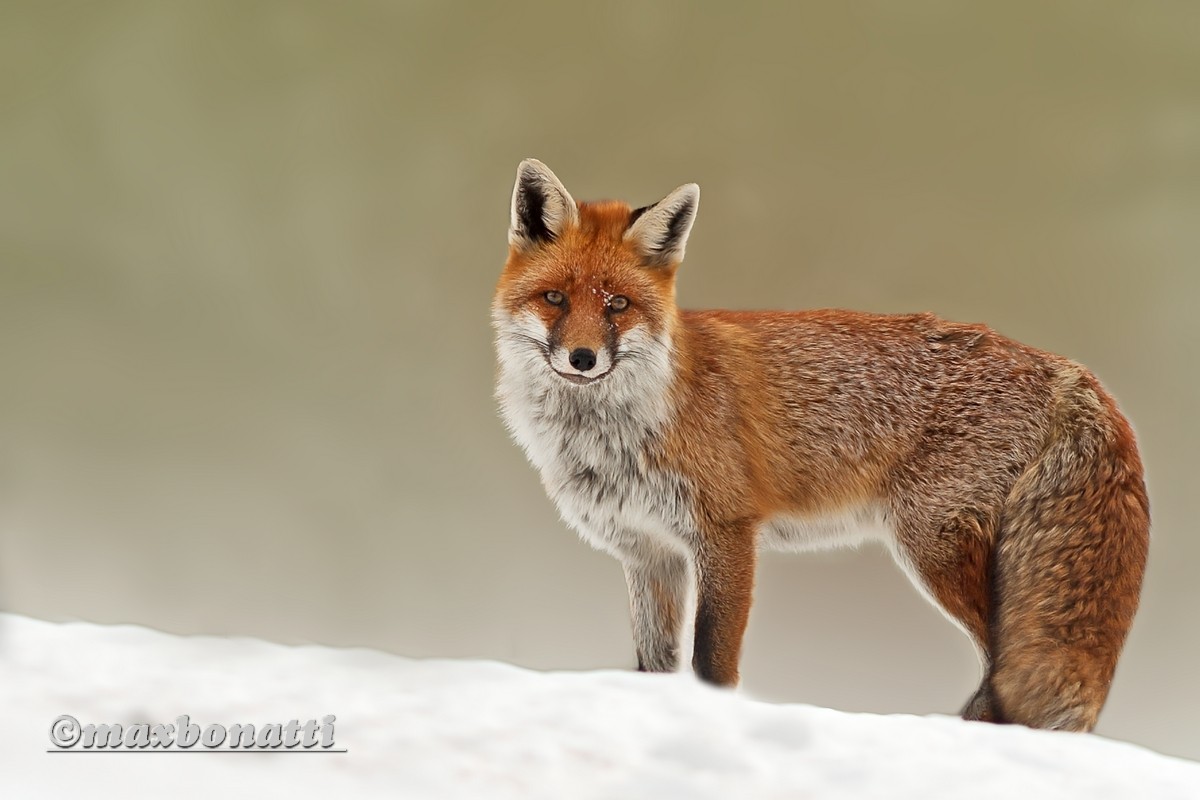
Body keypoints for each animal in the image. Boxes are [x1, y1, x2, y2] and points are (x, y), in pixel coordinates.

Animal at [492, 158, 1149, 732]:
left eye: (618, 305)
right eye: (555, 298)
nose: (582, 358)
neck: (620, 432)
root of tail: (1064, 369)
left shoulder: (726, 533)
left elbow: (710, 661)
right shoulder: (648, 554)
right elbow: (654, 666)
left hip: (934, 548)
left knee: (1001, 661)